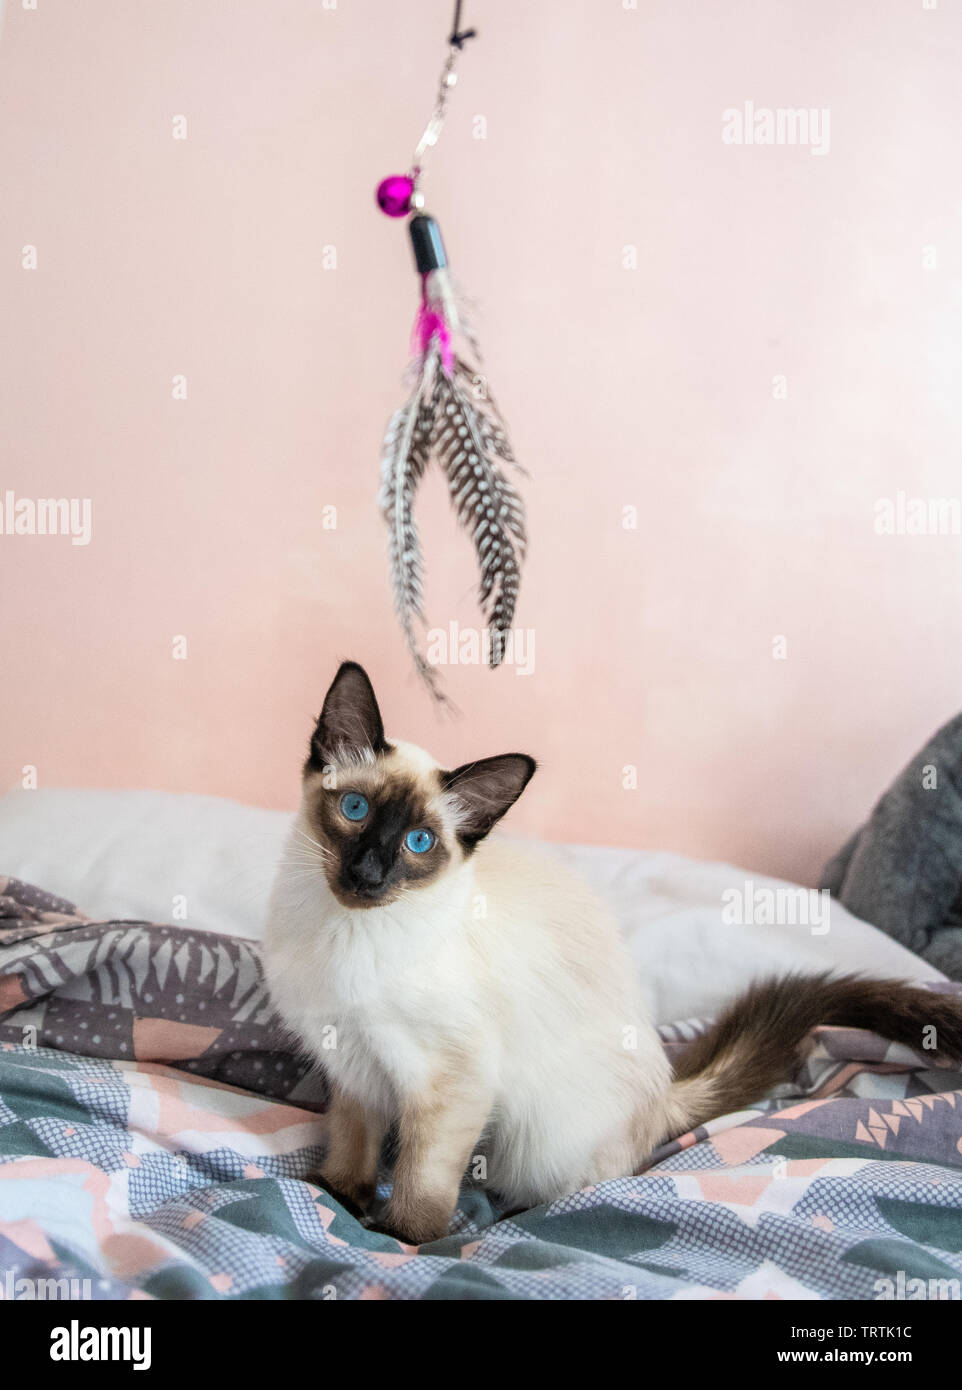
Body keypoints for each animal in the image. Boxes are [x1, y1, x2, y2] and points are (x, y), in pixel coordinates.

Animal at [262, 661, 962, 1251]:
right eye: (355, 810)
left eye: (418, 842)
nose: (369, 875)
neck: (342, 937)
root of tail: (663, 1094)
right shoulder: (352, 1067)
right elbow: (352, 1146)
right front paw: (337, 1196)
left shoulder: (451, 1082)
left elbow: (421, 1179)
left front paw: (404, 1238)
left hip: (542, 1135)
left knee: (580, 1185)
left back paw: (512, 1214)